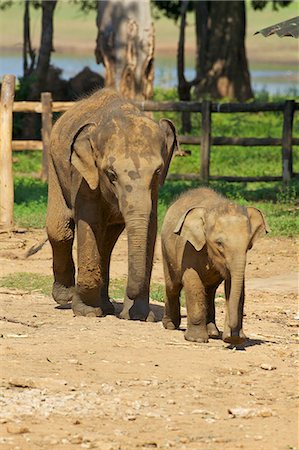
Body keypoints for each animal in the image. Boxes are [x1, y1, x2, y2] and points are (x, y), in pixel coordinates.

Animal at [46, 88, 178, 320]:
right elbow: (88, 221)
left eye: (158, 172)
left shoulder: (152, 192)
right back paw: (66, 297)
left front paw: (139, 317)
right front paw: (88, 312)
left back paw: (105, 306)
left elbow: (150, 226)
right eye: (111, 175)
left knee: (107, 243)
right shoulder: (83, 175)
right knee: (60, 229)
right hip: (54, 165)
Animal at [162, 186, 270, 344]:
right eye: (219, 243)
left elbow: (234, 286)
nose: (233, 336)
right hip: (166, 249)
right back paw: (170, 325)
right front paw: (196, 340)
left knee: (210, 290)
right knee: (172, 286)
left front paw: (234, 338)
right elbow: (193, 282)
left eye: (248, 245)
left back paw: (213, 333)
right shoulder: (189, 247)